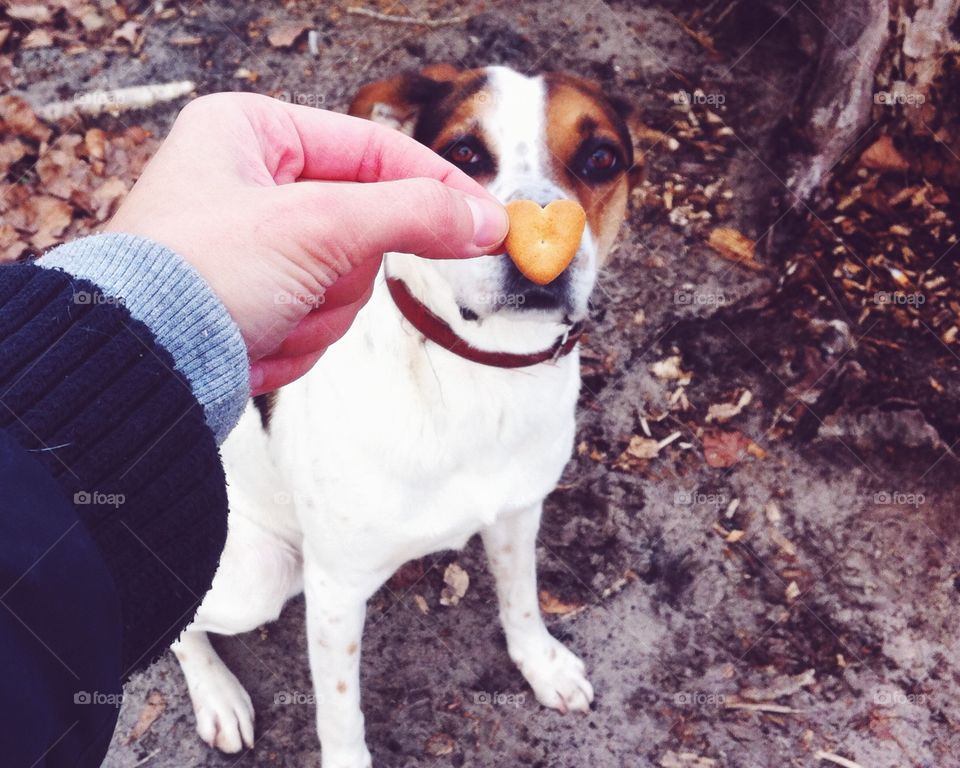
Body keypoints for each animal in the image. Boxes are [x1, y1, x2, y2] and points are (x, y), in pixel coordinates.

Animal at [172, 66, 636, 768]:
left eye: (601, 157)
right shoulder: (334, 591)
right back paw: (217, 694)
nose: (537, 246)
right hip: (257, 575)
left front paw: (542, 664)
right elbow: (340, 713)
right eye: (464, 154)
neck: (481, 373)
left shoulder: (518, 511)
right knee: (179, 625)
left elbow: (522, 597)